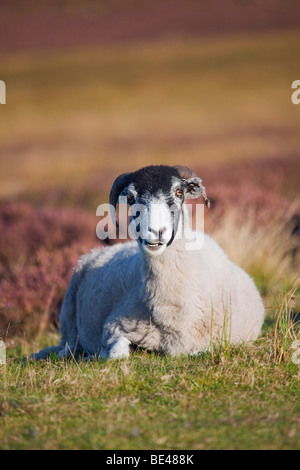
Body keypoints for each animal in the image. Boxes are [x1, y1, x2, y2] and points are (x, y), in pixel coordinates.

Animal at [31, 165, 264, 360]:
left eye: (179, 193)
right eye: (131, 197)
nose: (156, 231)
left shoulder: (222, 340)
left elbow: (199, 351)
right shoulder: (115, 326)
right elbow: (116, 354)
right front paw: (100, 354)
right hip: (68, 316)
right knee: (67, 345)